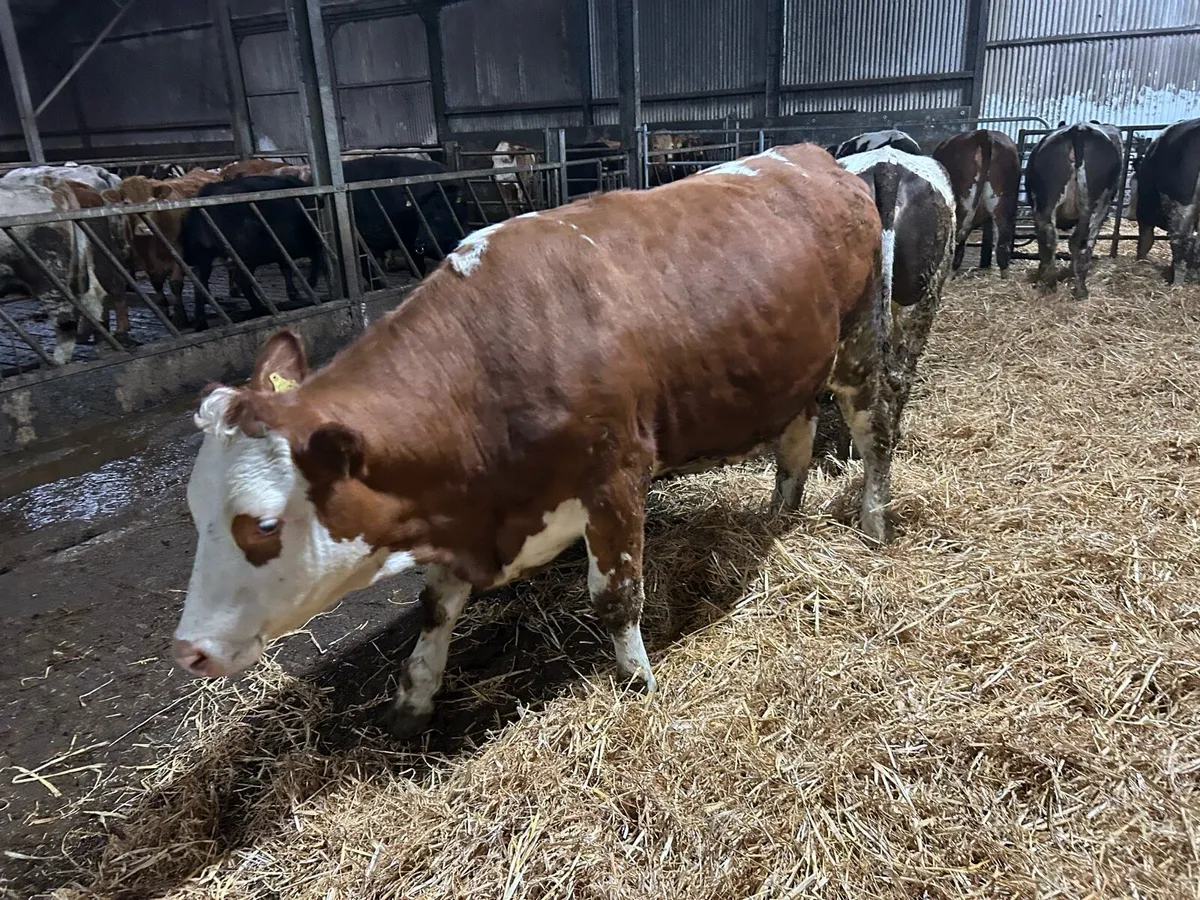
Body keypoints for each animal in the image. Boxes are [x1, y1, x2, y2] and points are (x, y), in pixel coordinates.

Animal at [102, 168, 221, 327]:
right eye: (126, 203)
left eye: (152, 202)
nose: (144, 229)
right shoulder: (146, 260)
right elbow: (157, 284)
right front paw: (164, 312)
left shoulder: (177, 252)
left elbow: (175, 284)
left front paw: (180, 317)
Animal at [179, 174, 325, 329]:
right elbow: (314, 254)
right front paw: (310, 283)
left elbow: (287, 266)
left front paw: (295, 293)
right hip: (246, 253)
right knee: (242, 280)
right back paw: (261, 309)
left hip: (203, 253)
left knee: (199, 280)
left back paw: (201, 324)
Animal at [1025, 121, 1124, 300]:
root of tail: (1079, 129)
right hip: (1094, 206)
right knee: (1079, 242)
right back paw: (1073, 287)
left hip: (1047, 203)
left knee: (1052, 237)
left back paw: (1053, 283)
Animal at [1131, 117, 1200, 284]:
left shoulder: (1145, 208)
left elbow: (1146, 238)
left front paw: (1140, 260)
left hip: (1181, 201)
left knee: (1181, 240)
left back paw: (1176, 283)